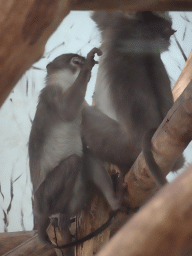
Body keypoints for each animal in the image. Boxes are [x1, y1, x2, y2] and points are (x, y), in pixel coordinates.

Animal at [28, 47, 121, 248]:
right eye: (75, 61)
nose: (83, 63)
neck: (67, 83)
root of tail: (38, 213)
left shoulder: (82, 105)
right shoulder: (52, 94)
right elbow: (67, 111)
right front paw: (87, 68)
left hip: (74, 199)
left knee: (85, 157)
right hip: (43, 197)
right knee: (73, 162)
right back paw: (54, 213)